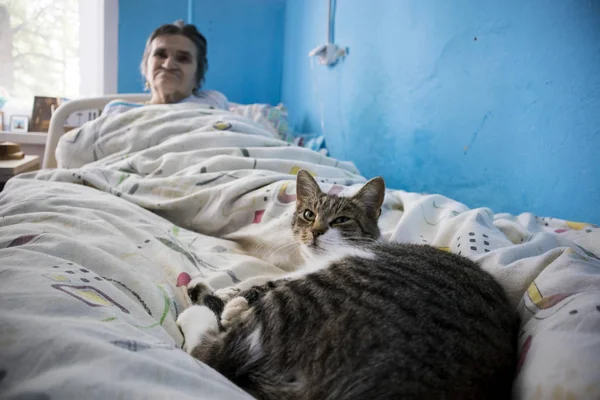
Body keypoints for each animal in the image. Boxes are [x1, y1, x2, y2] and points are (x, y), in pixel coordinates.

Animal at [176, 170, 516, 400]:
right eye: (308, 214)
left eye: (340, 220)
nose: (315, 231)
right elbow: (260, 278)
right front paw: (231, 293)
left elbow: (267, 282)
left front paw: (232, 300)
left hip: (313, 296)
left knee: (210, 354)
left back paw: (200, 310)